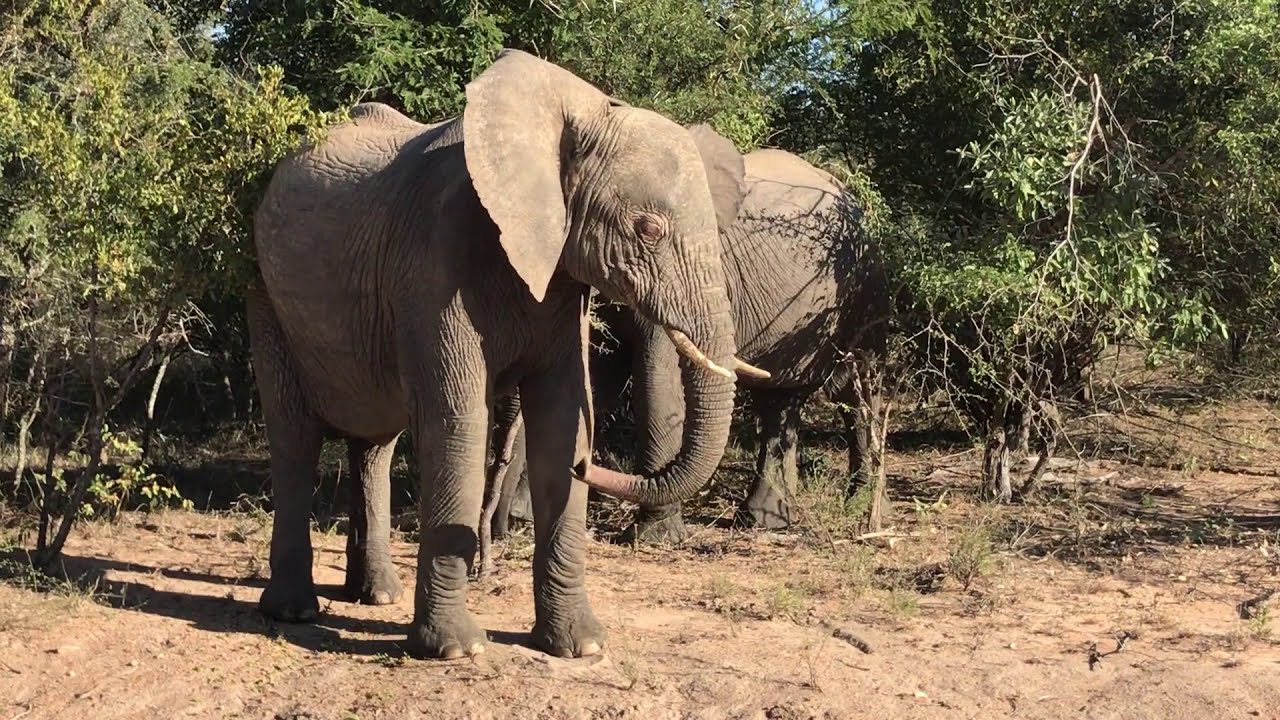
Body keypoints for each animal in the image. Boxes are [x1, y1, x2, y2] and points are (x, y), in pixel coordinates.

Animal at [247, 48, 768, 659]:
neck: (581, 113)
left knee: (375, 443)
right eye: (649, 229)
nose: (594, 467)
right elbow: (458, 423)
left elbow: (561, 423)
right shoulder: (434, 260)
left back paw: (375, 595)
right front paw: (456, 650)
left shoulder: (559, 276)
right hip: (265, 292)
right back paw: (294, 610)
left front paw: (582, 647)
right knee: (295, 437)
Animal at [494, 147, 890, 544]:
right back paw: (769, 519)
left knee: (853, 386)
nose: (503, 525)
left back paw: (862, 507)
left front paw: (652, 537)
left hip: (864, 287)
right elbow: (592, 380)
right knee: (783, 399)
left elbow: (655, 383)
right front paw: (529, 518)